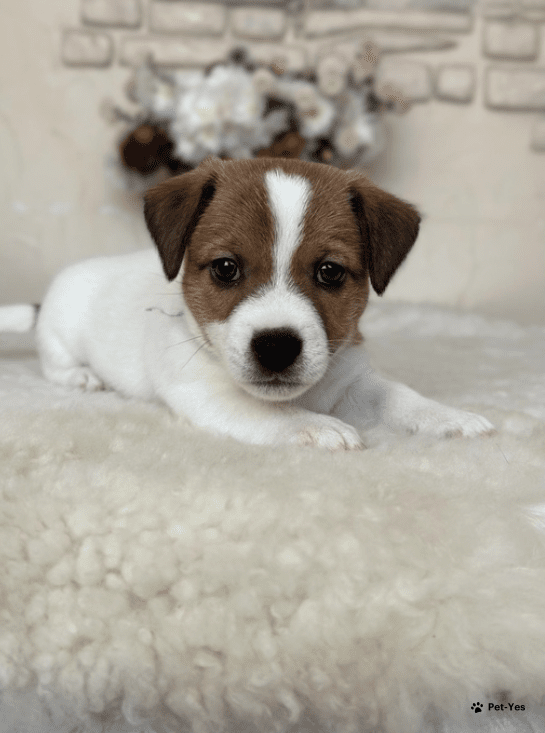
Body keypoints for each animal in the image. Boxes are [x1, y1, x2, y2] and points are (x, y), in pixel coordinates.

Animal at [0, 156, 494, 450]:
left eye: (330, 272)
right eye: (225, 268)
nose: (276, 346)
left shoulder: (354, 379)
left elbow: (400, 396)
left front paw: (448, 417)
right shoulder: (203, 393)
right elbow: (267, 410)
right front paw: (316, 426)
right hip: (61, 333)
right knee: (54, 363)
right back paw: (81, 376)